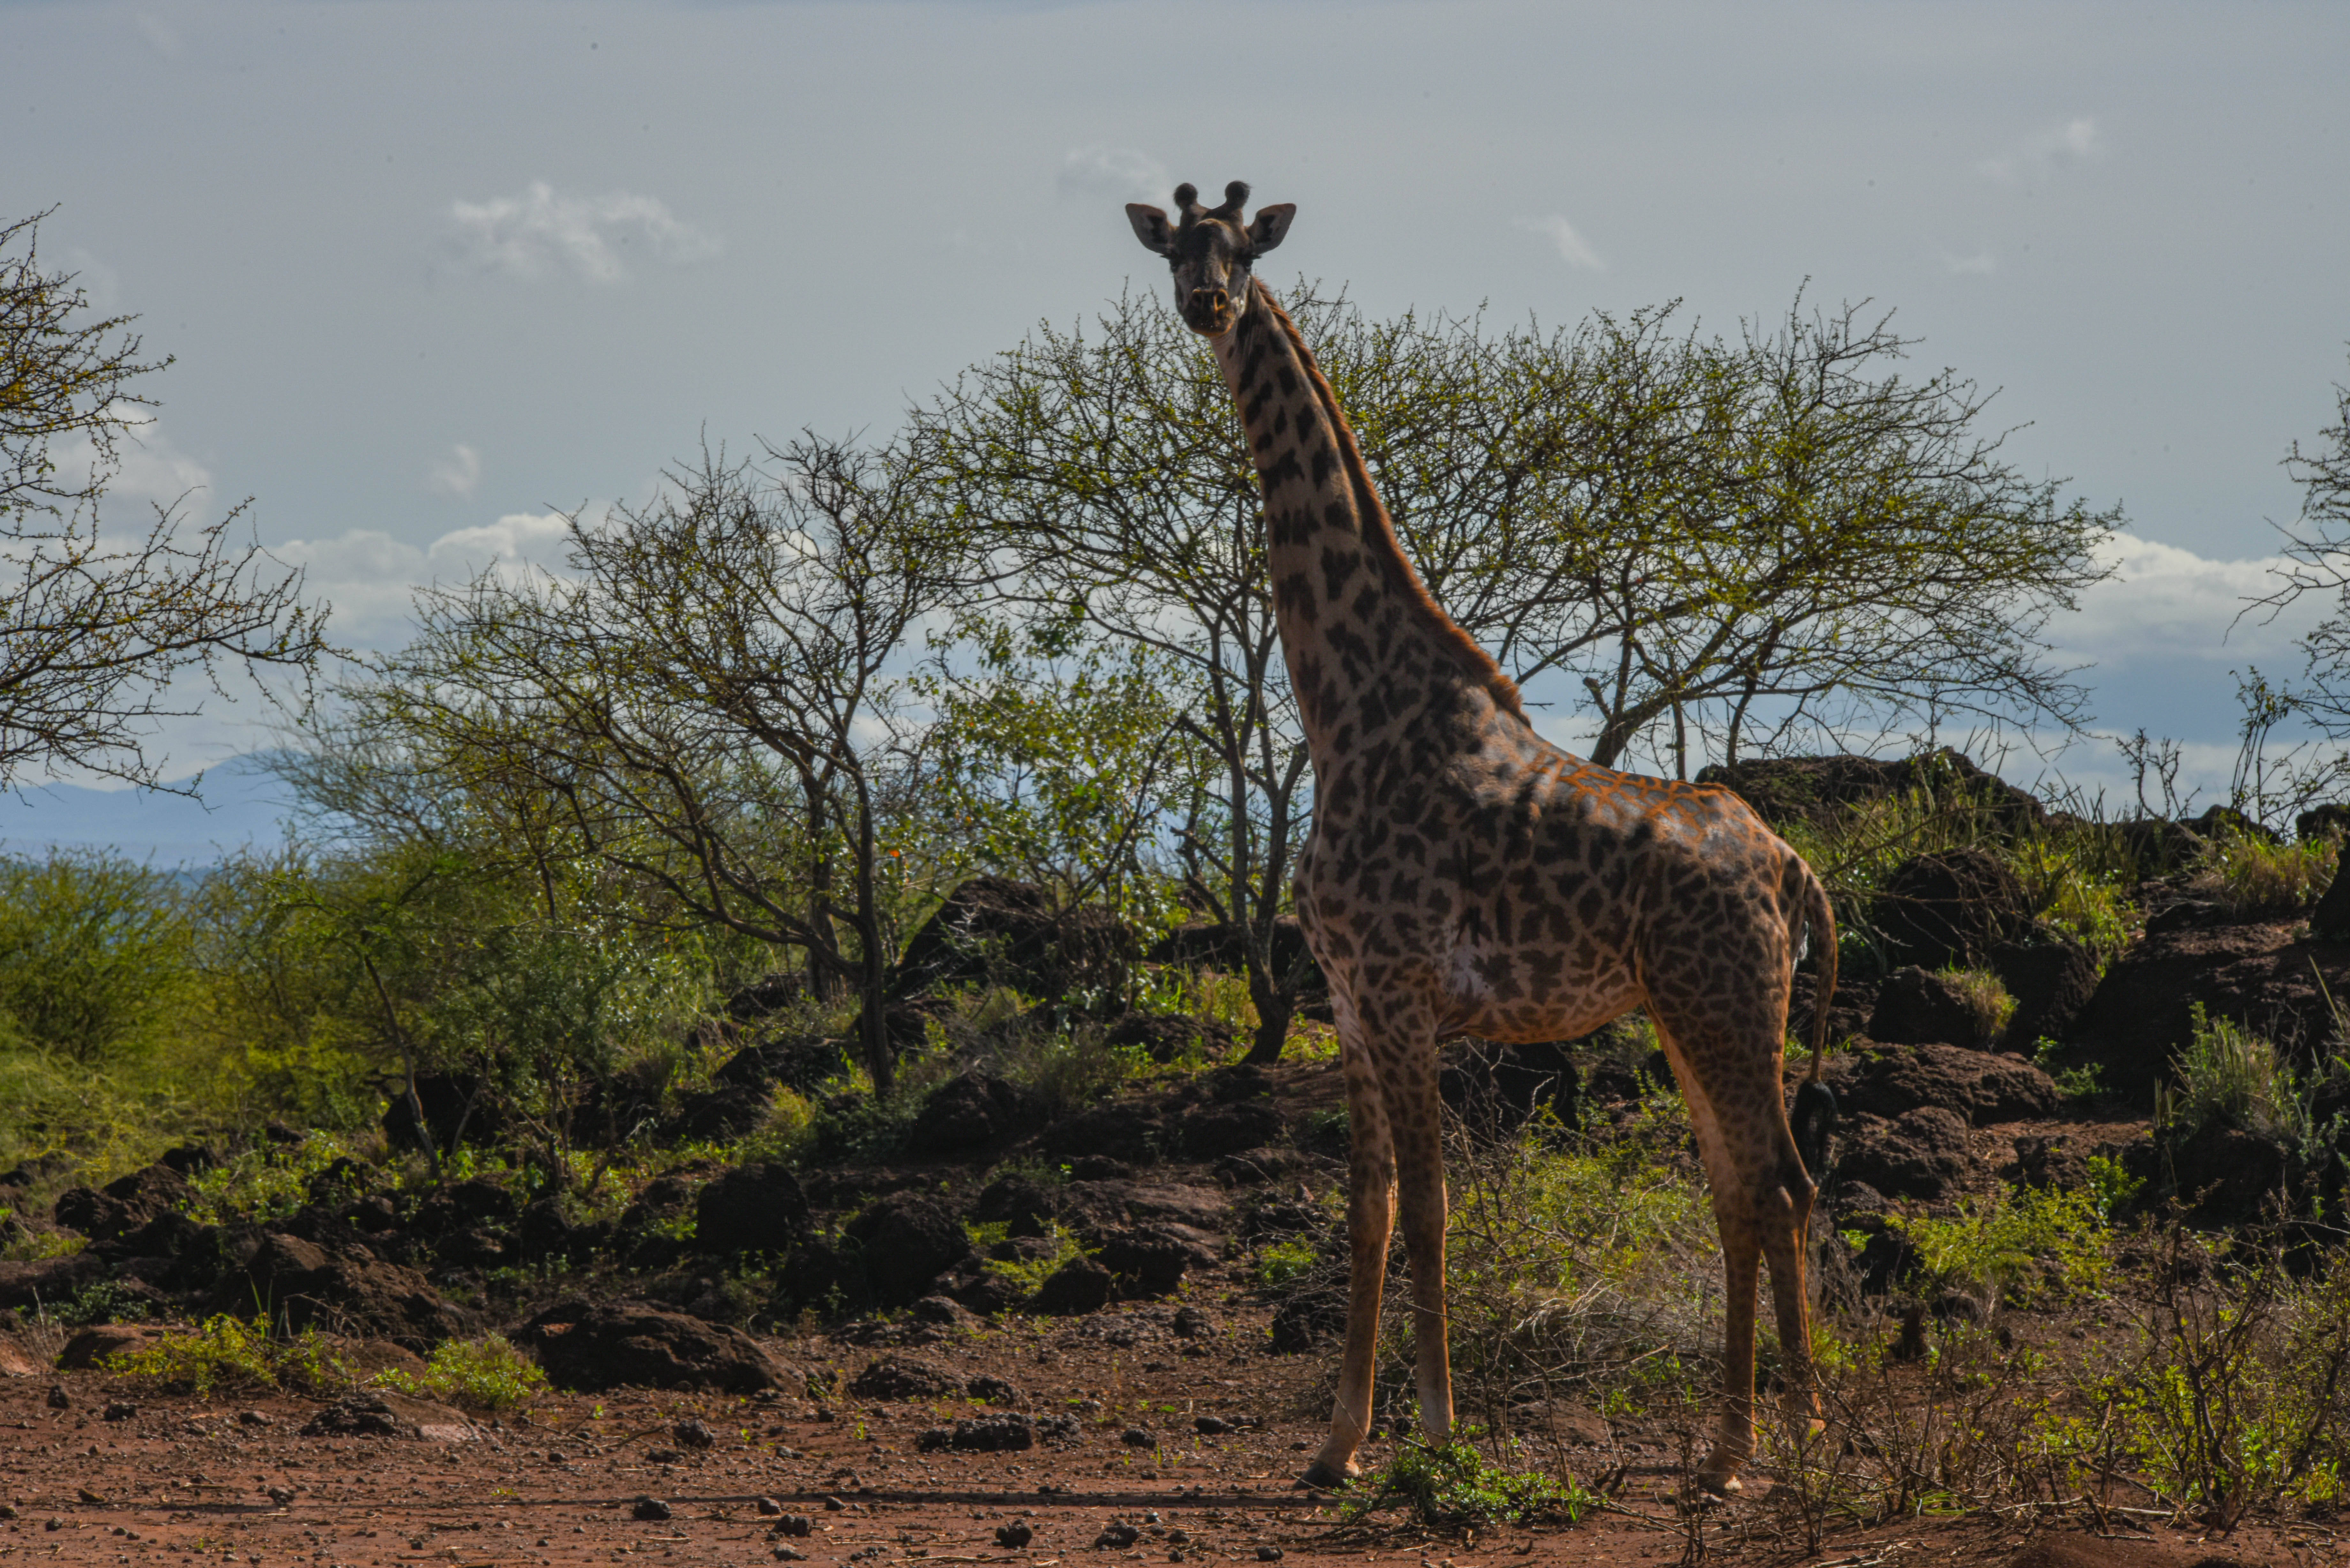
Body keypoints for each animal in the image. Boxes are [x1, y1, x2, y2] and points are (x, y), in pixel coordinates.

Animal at [1118, 185, 1833, 1495]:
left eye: (1240, 250)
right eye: (1174, 250)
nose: (1207, 304)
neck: (1346, 709)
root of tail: (1791, 869)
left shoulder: (1403, 994)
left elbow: (1433, 1206)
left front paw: (1439, 1433)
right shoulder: (1351, 1005)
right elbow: (1367, 1211)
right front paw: (1337, 1443)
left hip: (1722, 1004)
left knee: (1773, 1181)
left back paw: (1760, 1443)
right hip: (1694, 1011)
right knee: (1748, 1187)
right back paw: (1761, 1434)